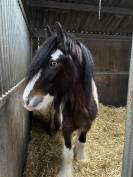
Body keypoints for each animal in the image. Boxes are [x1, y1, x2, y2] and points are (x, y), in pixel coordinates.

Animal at [22, 22, 98, 177]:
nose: (26, 99)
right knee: (53, 113)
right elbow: (67, 154)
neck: (80, 106)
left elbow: (81, 142)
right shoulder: (66, 130)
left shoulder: (87, 126)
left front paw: (81, 158)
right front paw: (66, 173)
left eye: (53, 62)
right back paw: (52, 130)